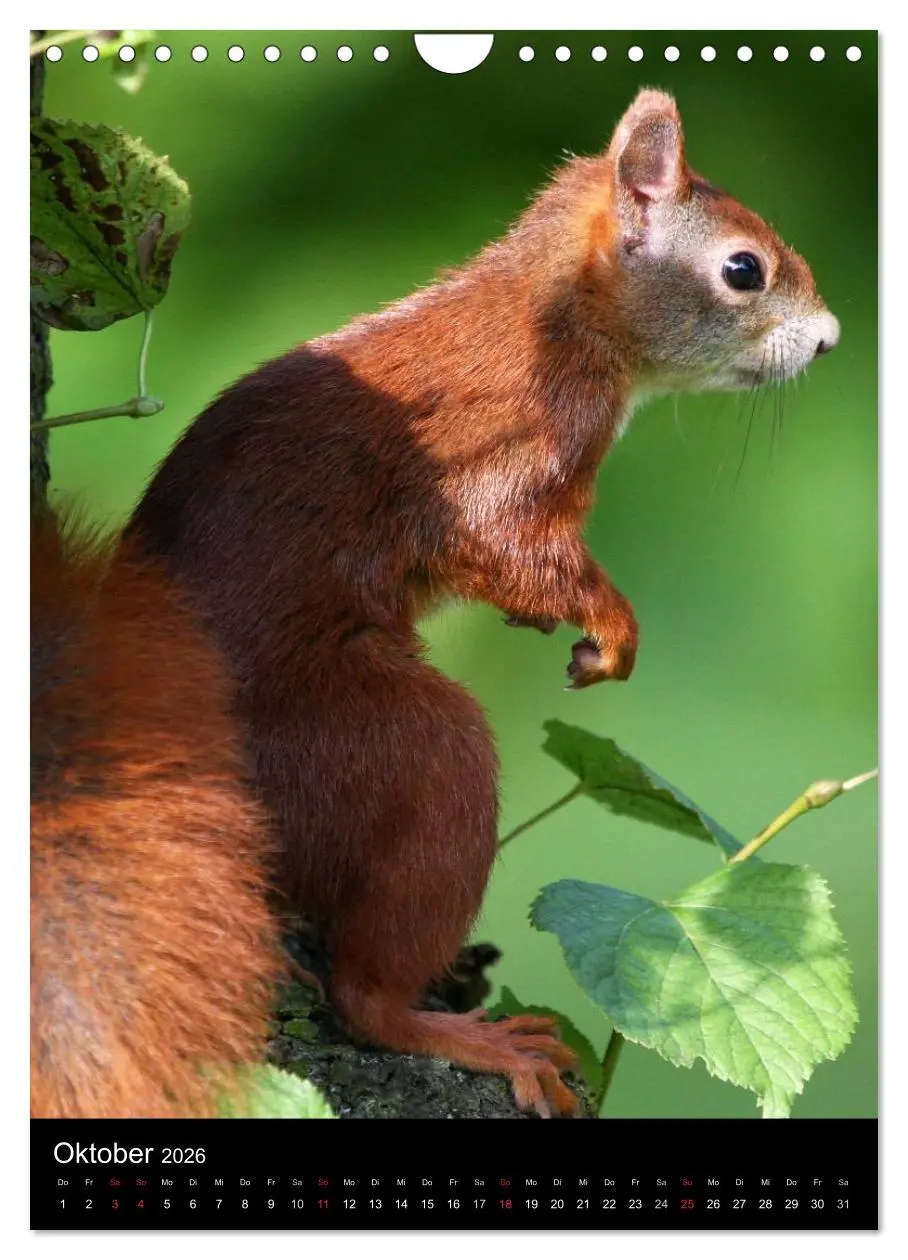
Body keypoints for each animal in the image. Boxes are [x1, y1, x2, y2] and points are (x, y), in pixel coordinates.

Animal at [122, 88, 838, 1118]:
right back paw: (466, 1035)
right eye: (745, 269)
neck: (557, 317)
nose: (827, 338)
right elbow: (509, 548)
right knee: (365, 990)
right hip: (397, 756)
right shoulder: (499, 453)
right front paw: (612, 628)